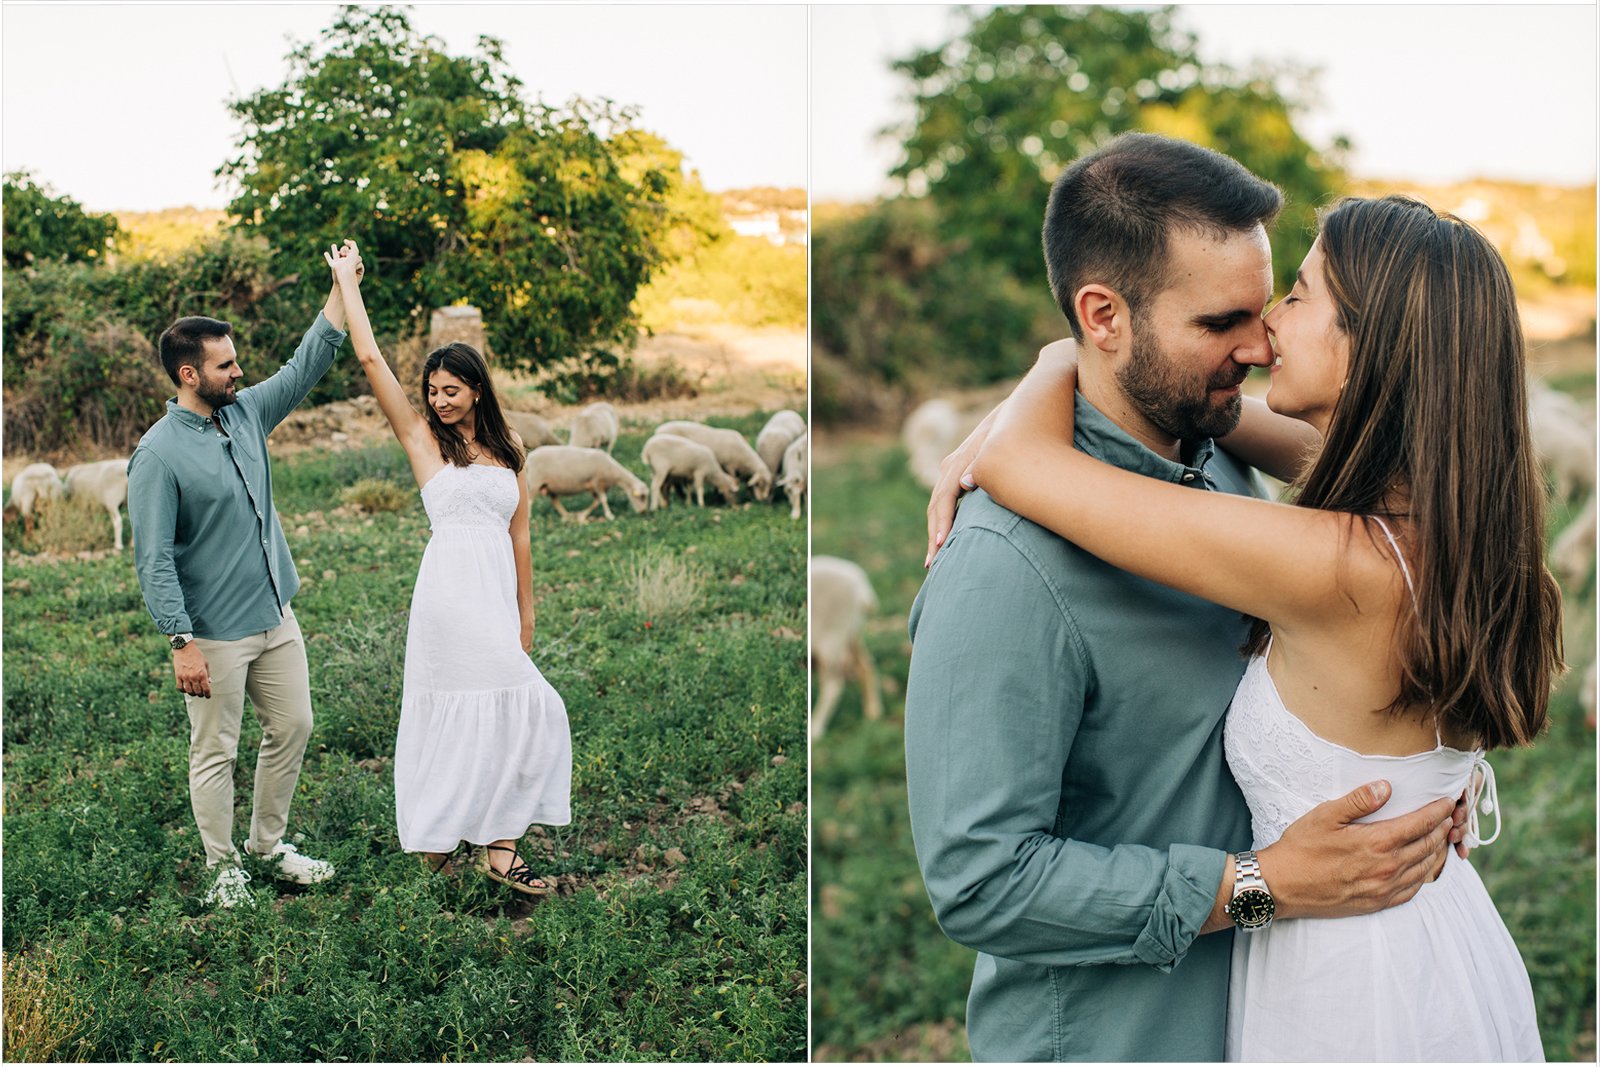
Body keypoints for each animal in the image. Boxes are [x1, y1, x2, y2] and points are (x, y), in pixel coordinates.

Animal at [812, 556, 889, 739]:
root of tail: (860, 584)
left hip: (831, 640)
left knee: (833, 686)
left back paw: (815, 728)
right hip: (851, 635)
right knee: (866, 666)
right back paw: (873, 712)